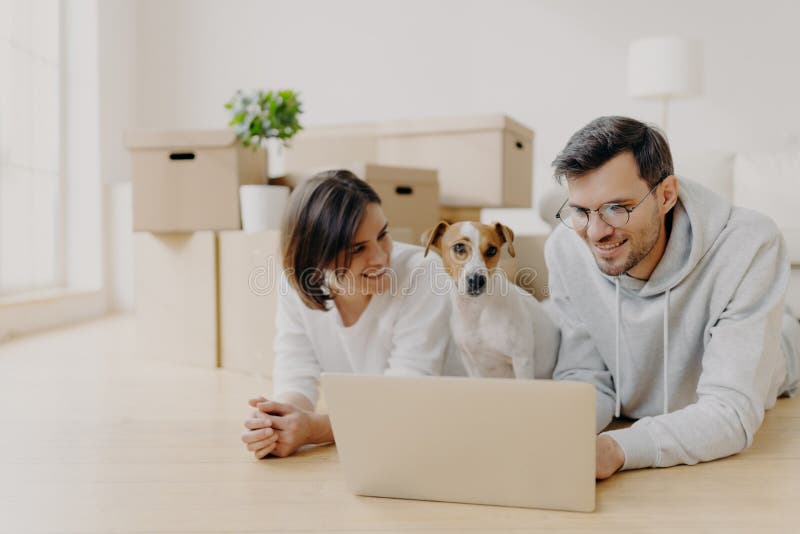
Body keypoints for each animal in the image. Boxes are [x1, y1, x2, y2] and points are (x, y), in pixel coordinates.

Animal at [422, 222, 560, 382]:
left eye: (492, 250)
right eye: (459, 247)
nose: (477, 280)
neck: (477, 310)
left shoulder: (522, 360)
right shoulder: (470, 363)